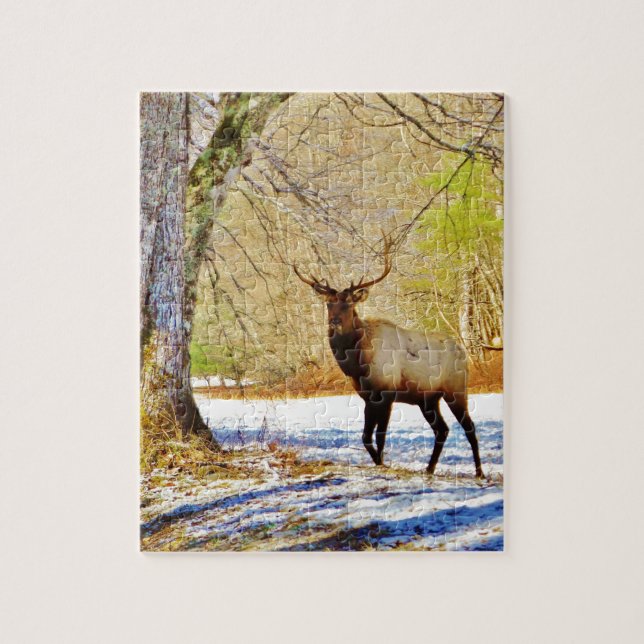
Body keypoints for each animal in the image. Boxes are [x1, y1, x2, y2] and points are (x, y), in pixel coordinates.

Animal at [293, 236, 484, 478]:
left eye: (349, 303)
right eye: (329, 303)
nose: (334, 322)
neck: (358, 363)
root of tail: (462, 350)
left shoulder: (387, 393)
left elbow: (379, 436)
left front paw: (382, 464)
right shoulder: (368, 396)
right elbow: (366, 437)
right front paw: (379, 462)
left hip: (456, 389)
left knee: (469, 427)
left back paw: (479, 472)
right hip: (428, 399)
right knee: (442, 429)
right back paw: (429, 468)